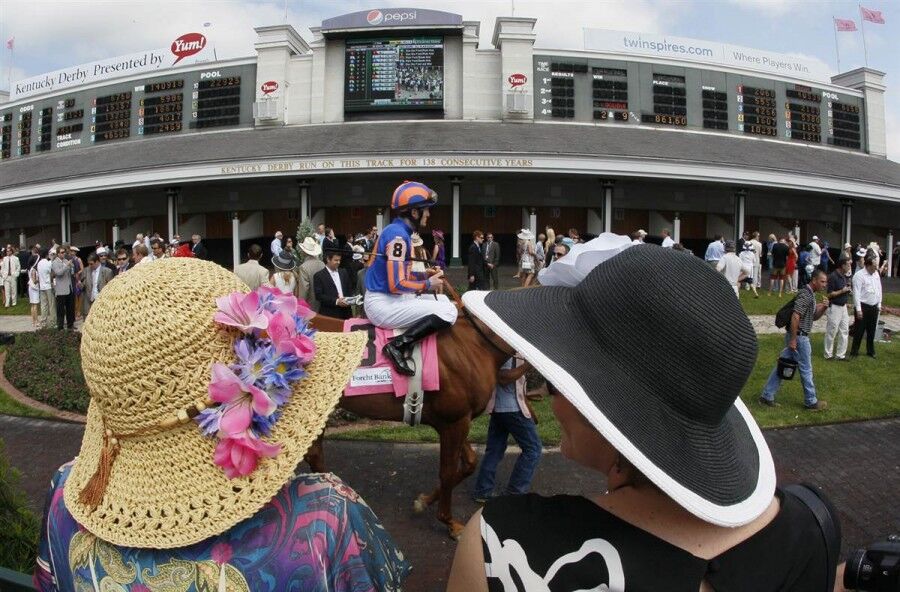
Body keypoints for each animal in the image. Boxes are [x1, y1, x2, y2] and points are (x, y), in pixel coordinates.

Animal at [308, 284, 528, 540]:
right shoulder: (454, 421)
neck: (474, 344)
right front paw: (450, 522)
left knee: (314, 455)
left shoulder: (456, 420)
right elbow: (447, 472)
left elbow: (469, 463)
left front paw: (424, 501)